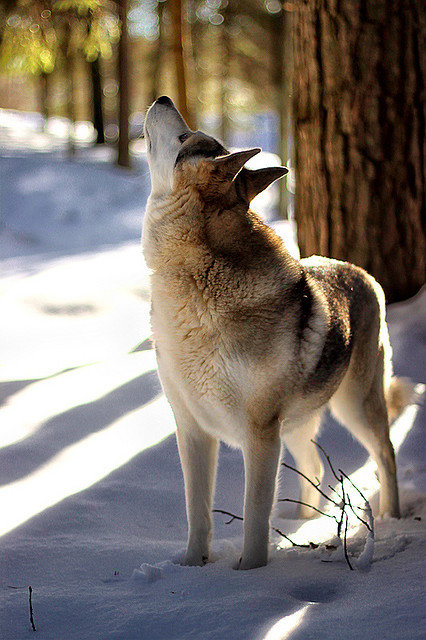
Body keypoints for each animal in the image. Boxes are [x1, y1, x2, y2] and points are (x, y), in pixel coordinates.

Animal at [143, 96, 406, 570]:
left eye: (184, 136)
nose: (164, 98)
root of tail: (360, 273)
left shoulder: (259, 433)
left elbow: (254, 516)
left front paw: (250, 573)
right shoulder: (192, 430)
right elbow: (197, 515)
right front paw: (191, 570)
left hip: (355, 407)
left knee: (386, 456)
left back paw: (392, 519)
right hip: (297, 426)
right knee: (315, 469)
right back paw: (304, 524)